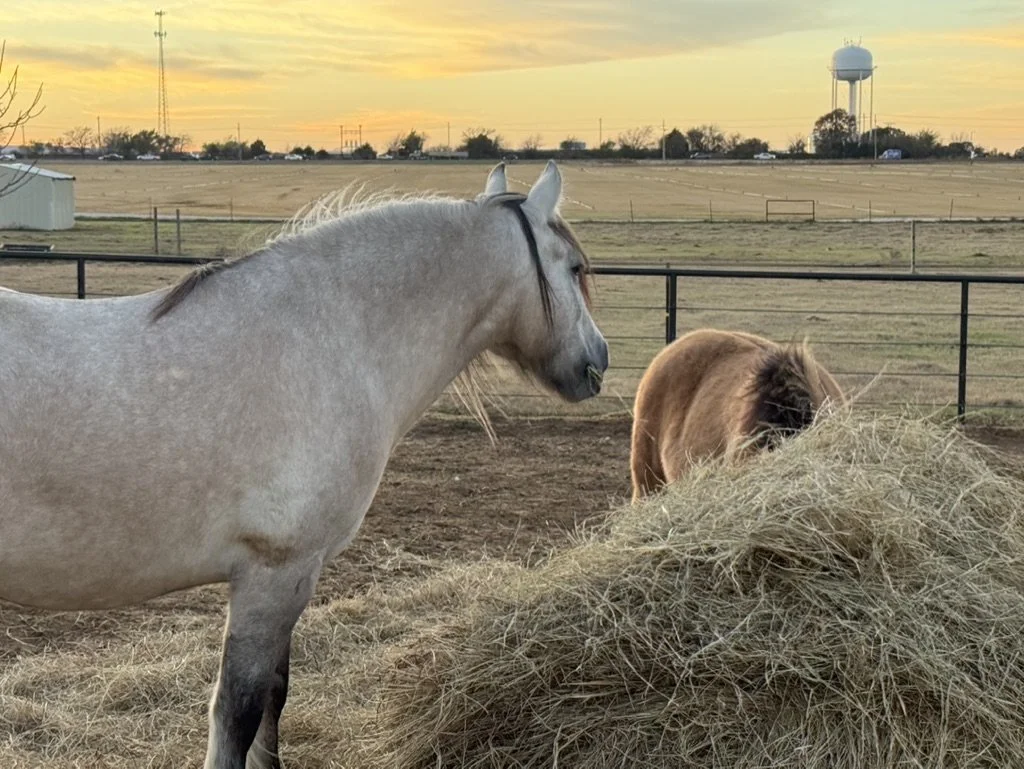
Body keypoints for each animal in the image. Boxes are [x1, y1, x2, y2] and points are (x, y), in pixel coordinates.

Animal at [0, 161, 608, 769]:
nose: (598, 360)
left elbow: (273, 702)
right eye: (575, 267)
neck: (334, 337)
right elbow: (240, 712)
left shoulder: (293, 579)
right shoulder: (276, 574)